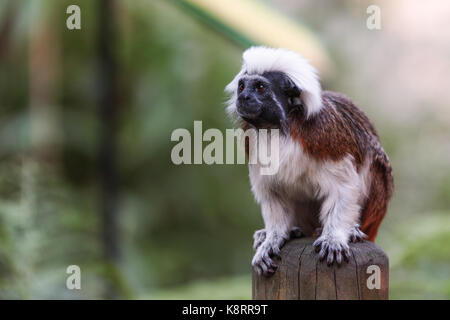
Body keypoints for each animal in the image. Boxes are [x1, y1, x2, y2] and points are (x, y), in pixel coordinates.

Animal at [225, 46, 394, 276]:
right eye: (242, 86)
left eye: (259, 87)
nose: (244, 97)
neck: (277, 129)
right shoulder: (252, 144)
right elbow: (273, 193)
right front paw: (272, 238)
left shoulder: (325, 137)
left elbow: (344, 187)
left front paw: (334, 237)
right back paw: (288, 231)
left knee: (375, 162)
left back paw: (352, 230)